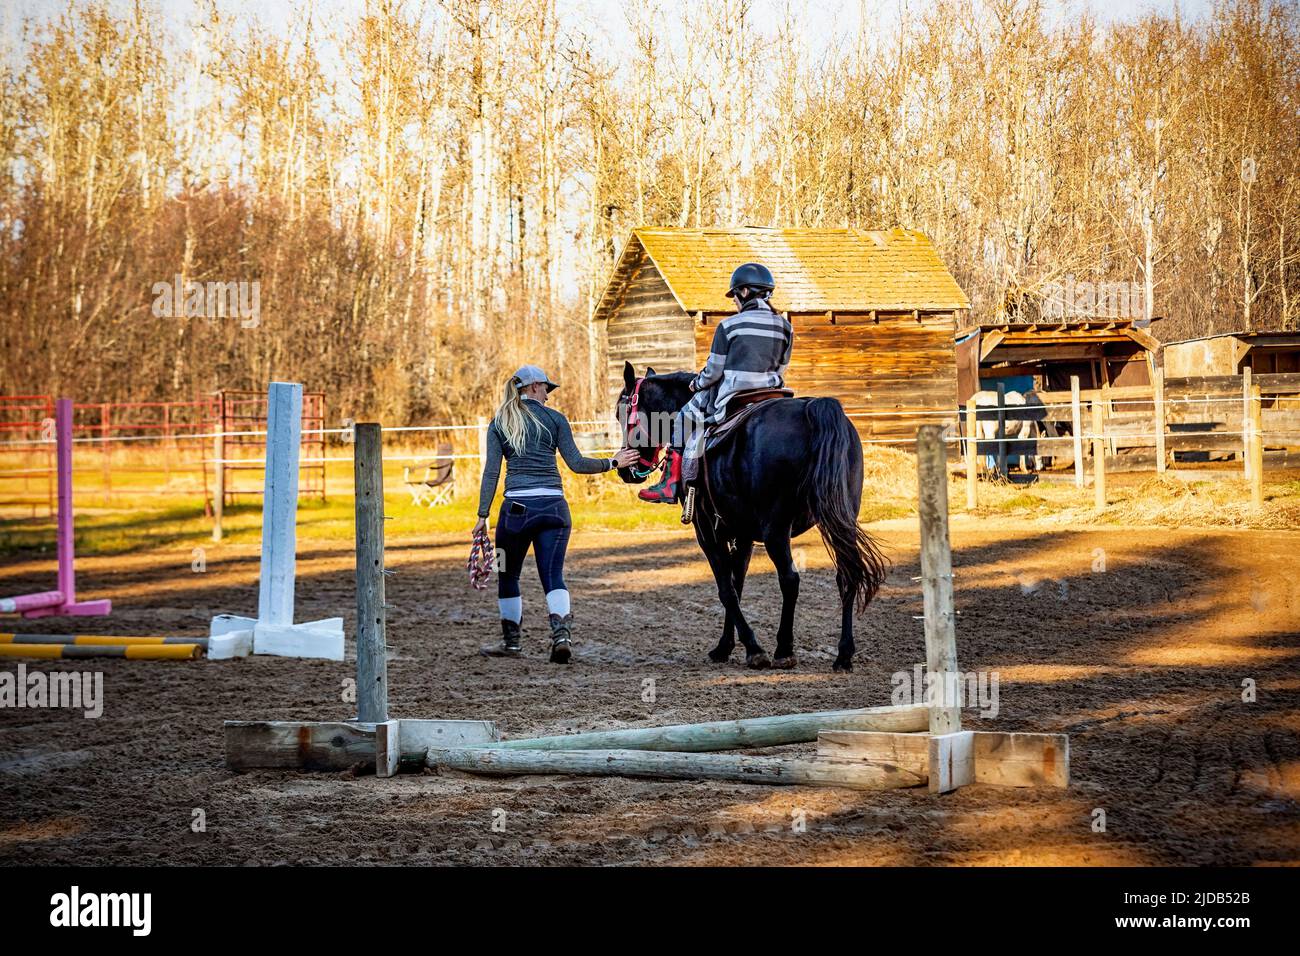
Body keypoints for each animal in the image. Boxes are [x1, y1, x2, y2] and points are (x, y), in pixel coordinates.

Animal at [615, 361, 889, 672]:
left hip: (776, 530)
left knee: (790, 579)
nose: (625, 470)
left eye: (621, 413)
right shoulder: (742, 534)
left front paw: (753, 648)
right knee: (846, 576)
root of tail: (814, 409)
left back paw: (784, 649)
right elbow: (737, 585)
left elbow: (726, 589)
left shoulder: (706, 531)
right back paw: (843, 654)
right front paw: (726, 646)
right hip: (842, 521)